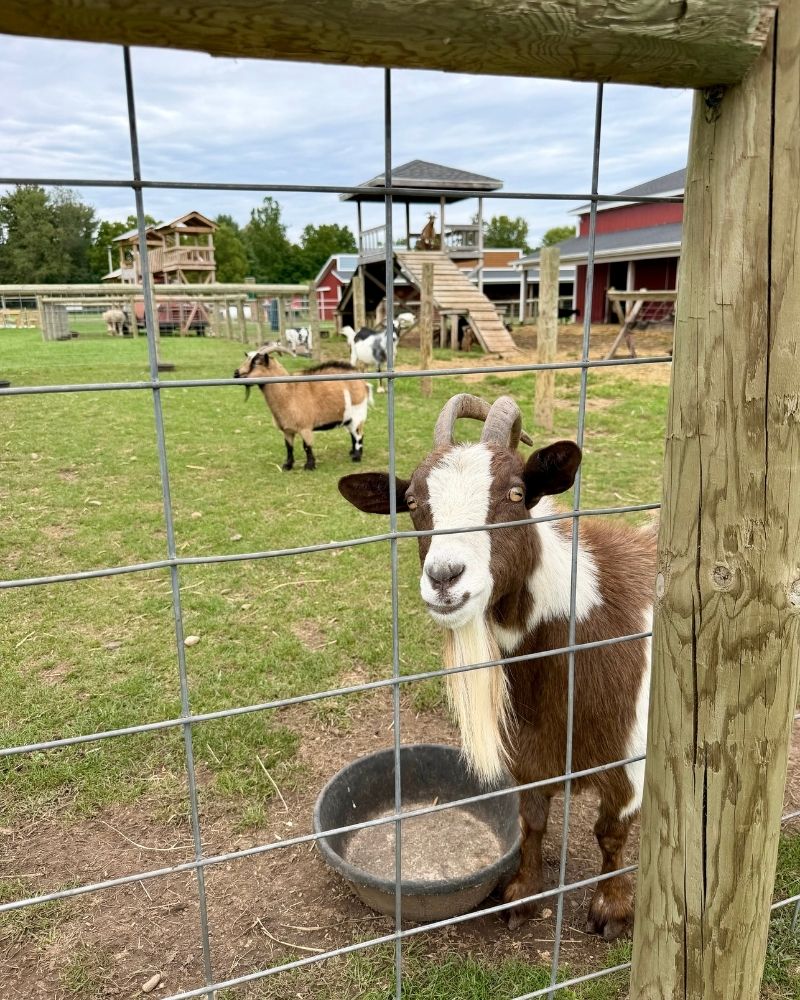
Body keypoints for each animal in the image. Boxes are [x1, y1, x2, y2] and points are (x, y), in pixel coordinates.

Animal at [233, 343, 371, 470]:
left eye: (257, 362)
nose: (236, 373)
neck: (289, 392)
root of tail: (362, 382)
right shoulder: (287, 430)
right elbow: (289, 447)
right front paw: (287, 465)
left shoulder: (305, 427)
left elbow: (307, 446)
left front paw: (309, 466)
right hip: (347, 417)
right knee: (353, 433)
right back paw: (352, 452)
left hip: (358, 413)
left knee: (359, 434)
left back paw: (357, 457)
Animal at [338, 394, 656, 940]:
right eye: (414, 503)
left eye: (515, 493)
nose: (445, 577)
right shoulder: (529, 752)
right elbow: (532, 820)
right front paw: (522, 896)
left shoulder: (628, 760)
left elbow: (611, 833)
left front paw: (612, 911)